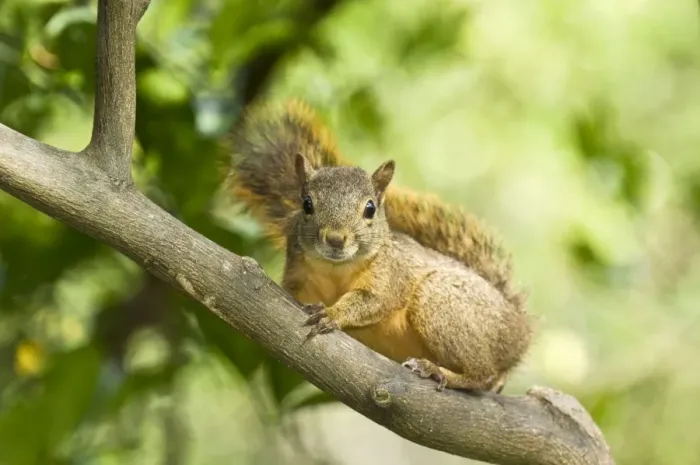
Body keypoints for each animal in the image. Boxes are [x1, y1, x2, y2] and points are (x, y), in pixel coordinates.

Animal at [224, 99, 532, 392]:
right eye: (307, 204)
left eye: (370, 209)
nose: (335, 238)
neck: (336, 268)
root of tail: (519, 331)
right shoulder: (297, 273)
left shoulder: (390, 274)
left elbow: (372, 300)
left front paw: (333, 313)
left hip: (441, 301)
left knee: (484, 374)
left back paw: (439, 372)